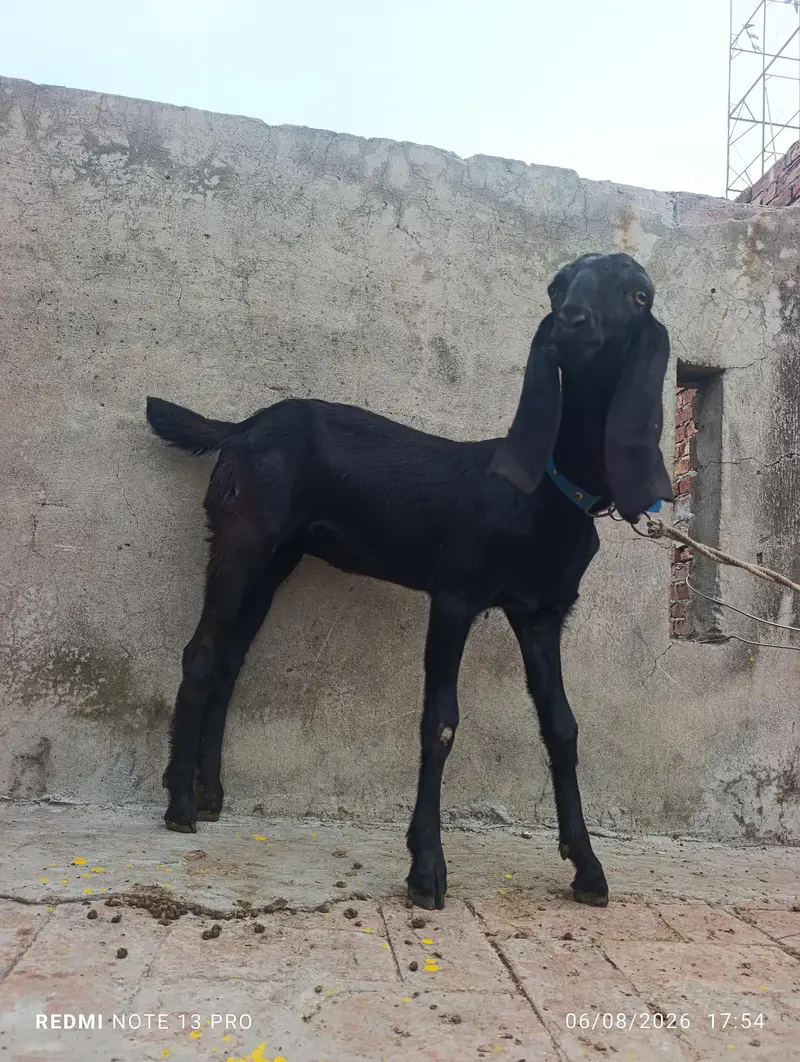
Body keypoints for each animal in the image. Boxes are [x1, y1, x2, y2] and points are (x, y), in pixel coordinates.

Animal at [145, 252, 673, 911]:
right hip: (242, 538)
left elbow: (562, 726)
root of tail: (240, 428)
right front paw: (426, 869)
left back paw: (210, 794)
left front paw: (588, 867)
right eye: (557, 286)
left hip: (275, 560)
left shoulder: (540, 612)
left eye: (639, 295)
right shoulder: (455, 596)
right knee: (201, 653)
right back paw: (179, 804)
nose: (572, 320)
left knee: (229, 661)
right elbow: (440, 720)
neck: (549, 491)